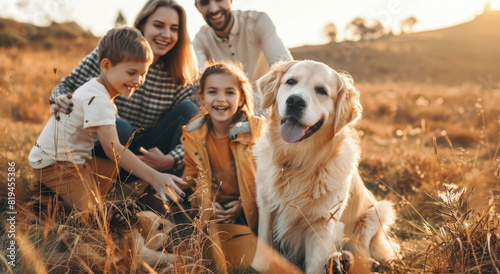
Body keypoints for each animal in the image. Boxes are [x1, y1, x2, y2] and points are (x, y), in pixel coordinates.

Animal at [254, 61, 398, 272]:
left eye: (322, 90)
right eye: (291, 82)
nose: (295, 101)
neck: (298, 163)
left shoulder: (323, 223)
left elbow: (315, 266)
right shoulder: (266, 208)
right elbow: (263, 254)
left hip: (376, 213)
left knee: (361, 250)